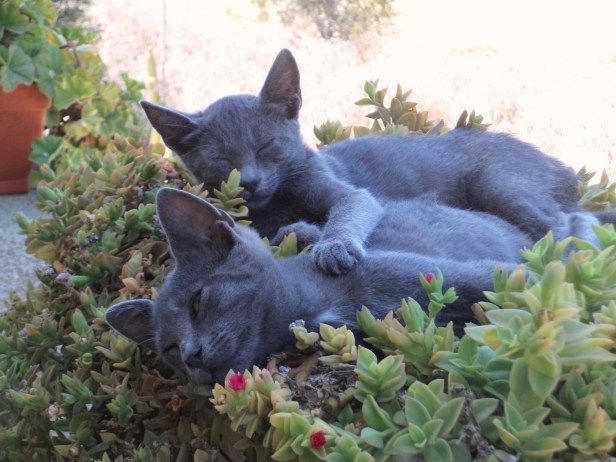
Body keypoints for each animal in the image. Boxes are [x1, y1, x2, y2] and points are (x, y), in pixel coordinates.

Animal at [105, 188, 529, 384]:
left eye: (197, 302)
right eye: (169, 349)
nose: (190, 355)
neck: (316, 307)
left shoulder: (447, 276)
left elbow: (508, 281)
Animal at [140, 49, 614, 276]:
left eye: (267, 147)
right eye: (223, 160)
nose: (251, 182)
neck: (276, 203)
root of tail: (559, 165)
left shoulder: (349, 190)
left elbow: (351, 208)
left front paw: (332, 246)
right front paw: (305, 232)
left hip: (497, 181)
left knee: (570, 220)